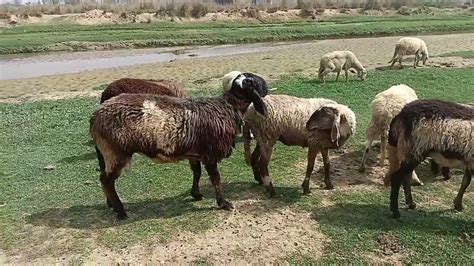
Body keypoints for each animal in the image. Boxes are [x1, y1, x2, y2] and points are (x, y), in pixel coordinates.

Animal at [89, 72, 266, 218]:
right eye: (255, 81)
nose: (266, 87)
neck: (229, 107)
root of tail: (95, 117)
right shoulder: (210, 154)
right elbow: (216, 178)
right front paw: (223, 203)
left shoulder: (195, 152)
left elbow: (197, 172)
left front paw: (196, 194)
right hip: (116, 152)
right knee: (106, 179)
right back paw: (121, 211)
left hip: (106, 152)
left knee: (105, 177)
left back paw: (111, 204)